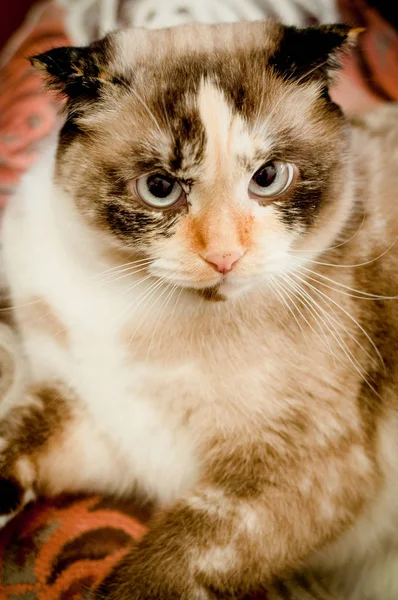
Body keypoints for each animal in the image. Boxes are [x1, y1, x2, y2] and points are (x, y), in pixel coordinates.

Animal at [0, 18, 398, 600]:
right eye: (160, 188)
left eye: (267, 178)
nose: (224, 257)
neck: (136, 310)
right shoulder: (102, 420)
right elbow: (17, 431)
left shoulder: (291, 470)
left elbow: (159, 568)